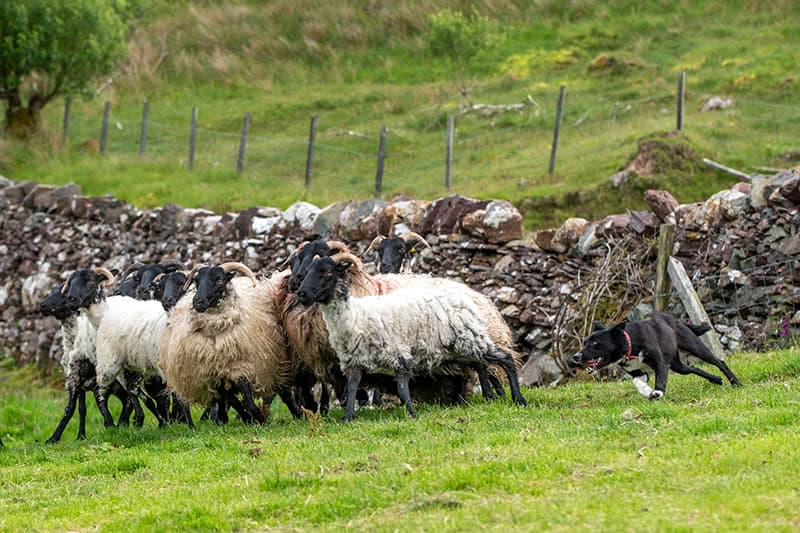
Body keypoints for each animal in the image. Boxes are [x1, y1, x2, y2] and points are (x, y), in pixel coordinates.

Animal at [159, 262, 301, 424]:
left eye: (220, 280)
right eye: (196, 281)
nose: (197, 302)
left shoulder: (240, 366)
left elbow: (245, 395)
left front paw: (257, 417)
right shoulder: (215, 373)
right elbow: (231, 399)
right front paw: (245, 417)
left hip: (276, 364)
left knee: (284, 391)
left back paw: (298, 415)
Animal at [295, 252, 527, 422]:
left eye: (327, 274)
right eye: (308, 272)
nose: (301, 294)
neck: (354, 315)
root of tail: (467, 295)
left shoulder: (399, 355)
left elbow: (402, 389)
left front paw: (412, 414)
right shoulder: (353, 362)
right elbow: (351, 389)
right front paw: (348, 418)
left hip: (470, 339)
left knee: (505, 359)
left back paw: (518, 399)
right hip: (459, 349)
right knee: (479, 365)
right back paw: (488, 397)